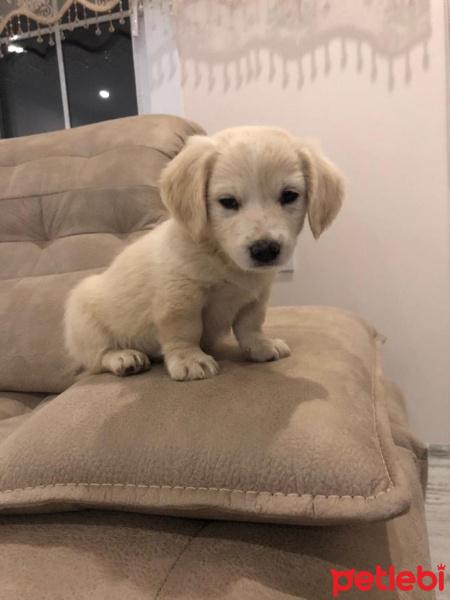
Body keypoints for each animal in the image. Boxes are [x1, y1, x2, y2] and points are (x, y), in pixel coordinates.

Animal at [64, 126, 344, 380]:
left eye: (289, 196)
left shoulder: (256, 296)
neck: (222, 257)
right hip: (82, 317)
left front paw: (262, 347)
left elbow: (251, 324)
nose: (265, 250)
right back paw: (124, 357)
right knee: (98, 357)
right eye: (228, 202)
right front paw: (190, 360)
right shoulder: (180, 295)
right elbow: (184, 329)